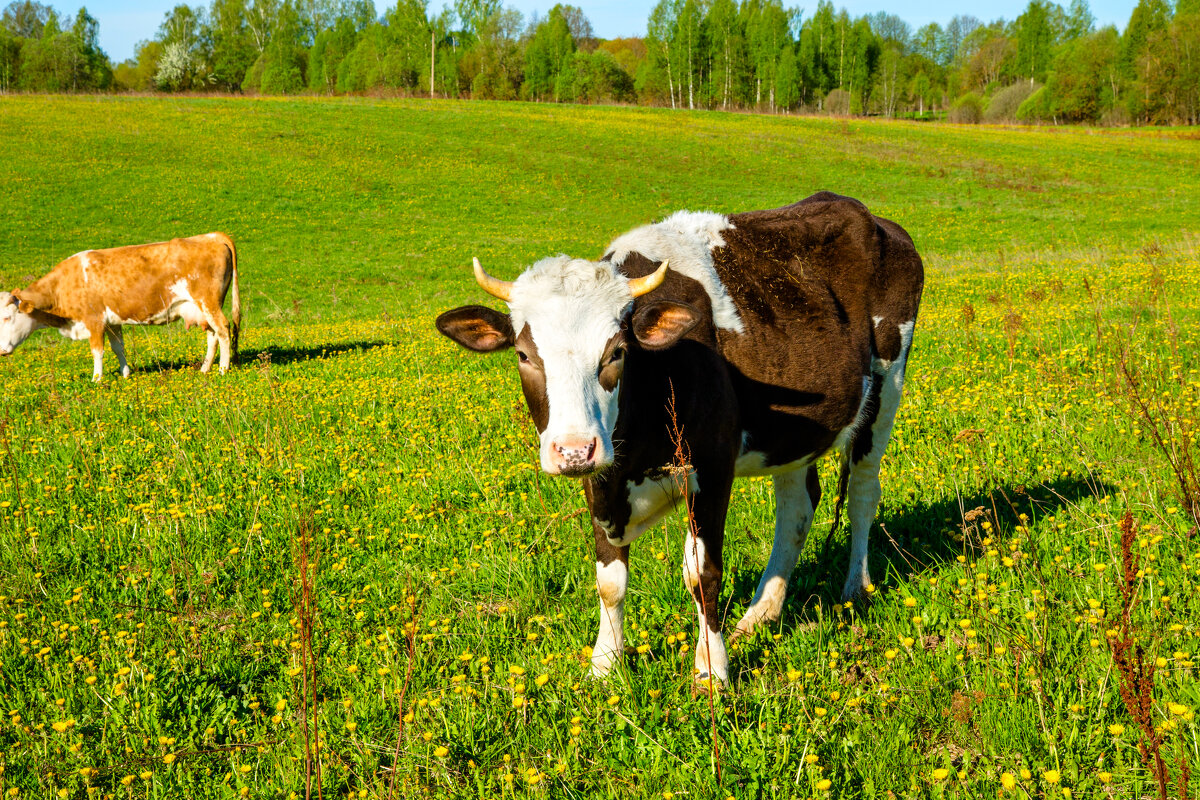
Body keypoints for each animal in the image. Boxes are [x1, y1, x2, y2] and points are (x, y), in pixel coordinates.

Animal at [1, 231, 241, 381]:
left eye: (7, 317)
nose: (1, 350)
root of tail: (210, 236)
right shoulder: (112, 321)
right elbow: (118, 347)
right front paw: (125, 373)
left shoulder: (94, 320)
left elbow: (97, 351)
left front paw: (96, 379)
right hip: (203, 309)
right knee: (213, 335)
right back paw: (205, 369)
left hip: (208, 302)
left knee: (223, 329)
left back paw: (223, 369)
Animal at [436, 191, 921, 681]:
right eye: (523, 355)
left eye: (617, 352)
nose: (573, 450)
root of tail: (866, 214)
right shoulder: (602, 477)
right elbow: (609, 581)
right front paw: (605, 665)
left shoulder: (712, 467)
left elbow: (702, 573)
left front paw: (711, 669)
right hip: (794, 433)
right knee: (797, 508)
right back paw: (760, 614)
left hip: (886, 389)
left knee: (863, 493)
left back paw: (855, 588)